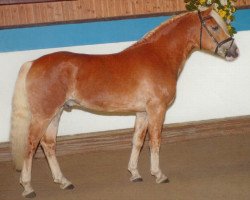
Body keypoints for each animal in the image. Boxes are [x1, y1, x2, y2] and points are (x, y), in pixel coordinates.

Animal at [10, 7, 239, 198]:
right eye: (215, 26)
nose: (234, 51)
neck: (159, 56)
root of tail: (33, 63)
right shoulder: (157, 110)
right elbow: (155, 141)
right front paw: (159, 174)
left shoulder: (142, 112)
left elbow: (137, 141)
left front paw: (135, 174)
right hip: (44, 114)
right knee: (31, 145)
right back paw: (28, 187)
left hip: (56, 113)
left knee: (48, 145)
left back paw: (64, 181)